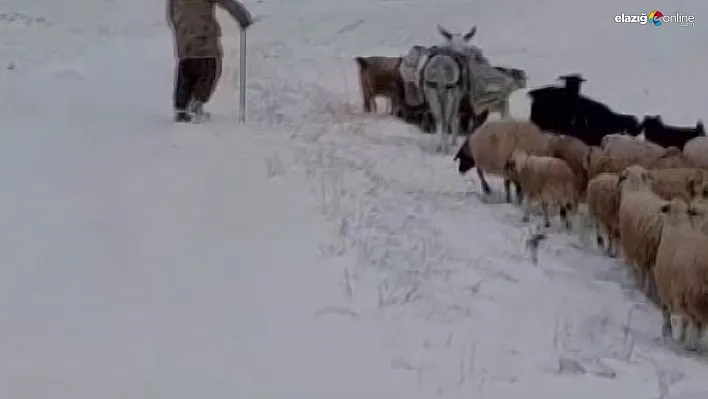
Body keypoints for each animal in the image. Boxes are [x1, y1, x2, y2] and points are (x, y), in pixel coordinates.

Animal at [652, 198, 708, 352]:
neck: (677, 223)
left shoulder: (670, 290)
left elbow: (671, 315)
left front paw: (670, 334)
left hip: (695, 293)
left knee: (695, 321)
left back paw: (690, 346)